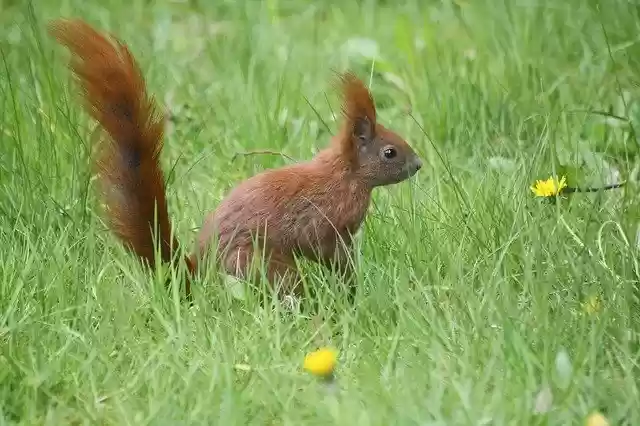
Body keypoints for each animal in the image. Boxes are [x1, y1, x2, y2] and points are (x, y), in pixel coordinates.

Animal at [48, 18, 423, 304]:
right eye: (390, 152)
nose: (418, 164)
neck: (345, 175)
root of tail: (199, 276)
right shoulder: (324, 222)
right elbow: (327, 252)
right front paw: (350, 287)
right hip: (261, 263)